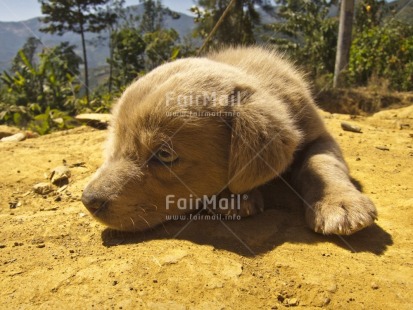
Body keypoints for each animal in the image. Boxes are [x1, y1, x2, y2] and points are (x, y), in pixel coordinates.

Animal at [81, 46, 376, 235]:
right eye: (119, 141)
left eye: (164, 155)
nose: (88, 200)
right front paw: (233, 198)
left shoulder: (320, 135)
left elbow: (322, 164)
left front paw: (340, 203)